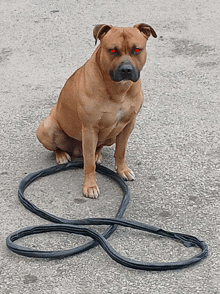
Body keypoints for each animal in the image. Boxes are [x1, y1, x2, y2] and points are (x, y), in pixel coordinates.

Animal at [36, 23, 156, 198]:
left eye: (136, 50)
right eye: (112, 50)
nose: (126, 70)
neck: (118, 90)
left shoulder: (128, 124)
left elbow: (121, 151)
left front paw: (122, 170)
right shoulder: (89, 129)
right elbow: (89, 164)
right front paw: (90, 186)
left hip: (111, 135)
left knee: (97, 148)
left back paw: (97, 154)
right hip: (47, 128)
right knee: (58, 147)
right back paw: (61, 155)